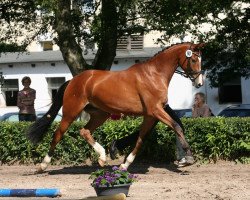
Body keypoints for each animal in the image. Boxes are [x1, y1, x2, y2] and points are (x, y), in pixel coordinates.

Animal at [27, 42, 203, 172]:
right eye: (194, 60)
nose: (199, 82)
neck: (154, 75)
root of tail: (73, 80)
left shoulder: (151, 115)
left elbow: (141, 138)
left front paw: (124, 164)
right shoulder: (156, 111)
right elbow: (176, 127)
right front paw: (188, 159)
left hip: (100, 114)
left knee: (84, 131)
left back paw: (102, 157)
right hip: (71, 113)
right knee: (57, 134)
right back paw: (43, 165)